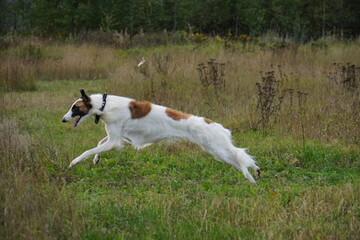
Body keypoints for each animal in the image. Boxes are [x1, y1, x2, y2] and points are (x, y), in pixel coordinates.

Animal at [61, 89, 258, 182]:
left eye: (75, 108)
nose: (63, 119)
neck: (104, 105)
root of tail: (212, 123)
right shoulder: (119, 138)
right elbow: (98, 144)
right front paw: (96, 159)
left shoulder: (115, 141)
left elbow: (87, 151)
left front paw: (74, 162)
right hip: (218, 152)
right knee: (240, 161)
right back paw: (254, 175)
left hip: (217, 150)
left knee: (240, 159)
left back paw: (252, 177)